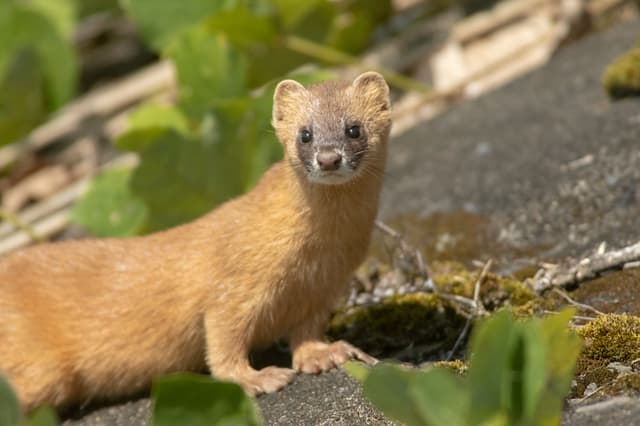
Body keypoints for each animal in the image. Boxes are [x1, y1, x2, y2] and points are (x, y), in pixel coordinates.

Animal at [0, 71, 390, 412]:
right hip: (41, 368)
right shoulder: (235, 285)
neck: (317, 254)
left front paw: (326, 354)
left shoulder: (326, 286)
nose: (329, 158)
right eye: (305, 134)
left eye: (354, 128)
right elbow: (223, 340)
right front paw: (258, 378)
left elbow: (307, 330)